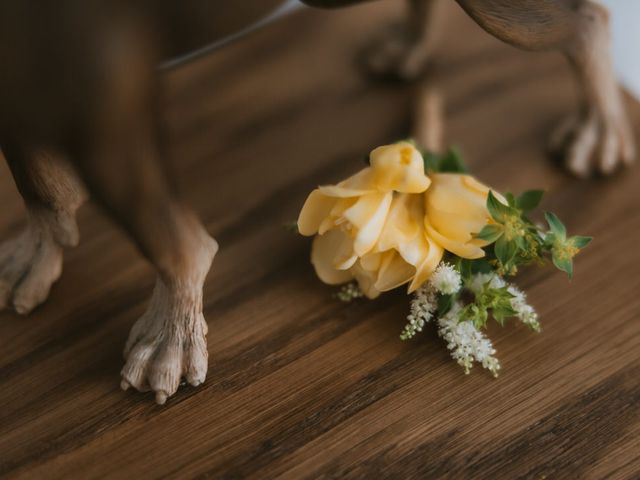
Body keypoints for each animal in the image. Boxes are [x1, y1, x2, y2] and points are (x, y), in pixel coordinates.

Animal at [0, 1, 632, 404]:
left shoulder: (103, 93)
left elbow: (174, 242)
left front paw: (169, 341)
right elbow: (41, 183)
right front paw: (35, 258)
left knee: (588, 21)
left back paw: (602, 130)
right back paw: (409, 48)